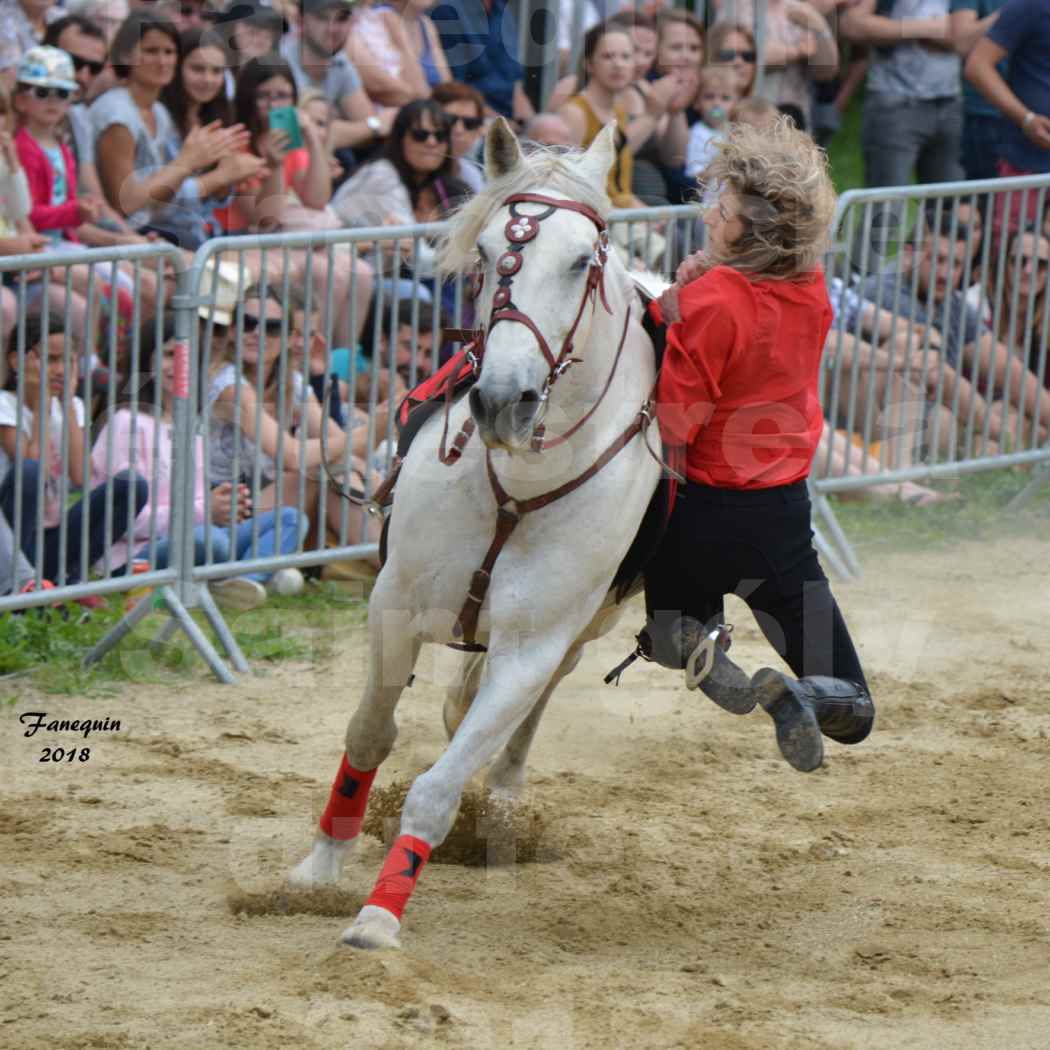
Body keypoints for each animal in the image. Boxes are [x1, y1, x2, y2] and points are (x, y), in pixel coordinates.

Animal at [287, 119, 663, 949]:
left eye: (581, 262)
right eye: (490, 255)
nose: (501, 400)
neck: (516, 487)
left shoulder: (531, 648)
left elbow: (440, 786)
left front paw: (378, 917)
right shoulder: (393, 606)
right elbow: (369, 733)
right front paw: (320, 865)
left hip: (588, 625)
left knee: (528, 709)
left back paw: (505, 792)